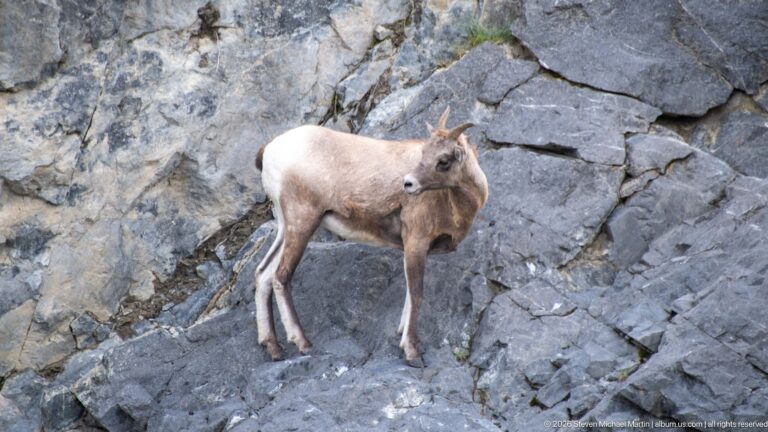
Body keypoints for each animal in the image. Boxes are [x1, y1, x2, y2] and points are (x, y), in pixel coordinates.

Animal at [254, 107, 488, 367]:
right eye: (425, 153)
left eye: (443, 160)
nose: (408, 184)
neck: (455, 205)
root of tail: (270, 150)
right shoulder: (416, 243)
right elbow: (416, 294)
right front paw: (412, 352)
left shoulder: (414, 249)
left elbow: (409, 295)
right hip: (302, 223)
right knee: (280, 276)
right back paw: (303, 343)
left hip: (285, 228)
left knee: (263, 274)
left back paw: (273, 348)